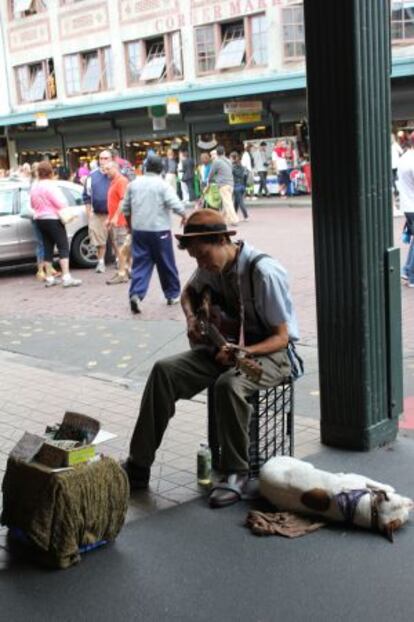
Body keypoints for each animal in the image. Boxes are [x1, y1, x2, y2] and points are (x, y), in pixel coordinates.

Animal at [260, 458, 412, 540]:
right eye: (401, 502)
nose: (412, 502)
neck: (371, 510)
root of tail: (262, 468)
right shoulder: (357, 478)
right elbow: (375, 483)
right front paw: (388, 487)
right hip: (303, 463)